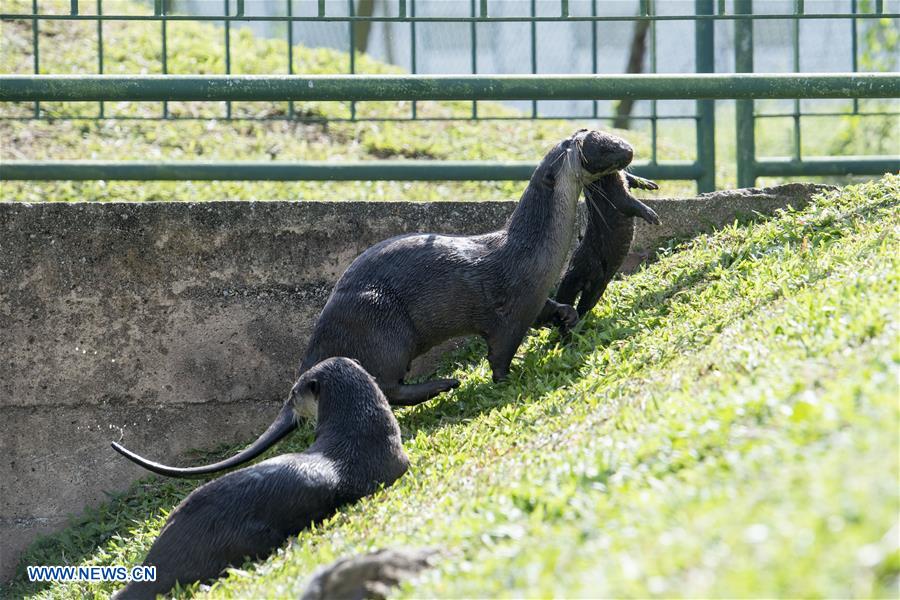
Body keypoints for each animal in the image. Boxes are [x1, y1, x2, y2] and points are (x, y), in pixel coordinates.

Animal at [110, 130, 632, 478]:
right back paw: (444, 383)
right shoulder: (508, 311)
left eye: (611, 138)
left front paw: (569, 322)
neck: (530, 249)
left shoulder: (534, 298)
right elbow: (499, 355)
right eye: (596, 145)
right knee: (388, 385)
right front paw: (508, 379)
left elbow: (554, 310)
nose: (627, 149)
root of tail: (313, 353)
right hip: (384, 326)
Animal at [556, 170, 660, 318]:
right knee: (581, 303)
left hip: (597, 285)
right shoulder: (614, 193)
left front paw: (648, 183)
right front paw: (651, 214)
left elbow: (631, 179)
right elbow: (629, 204)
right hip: (592, 275)